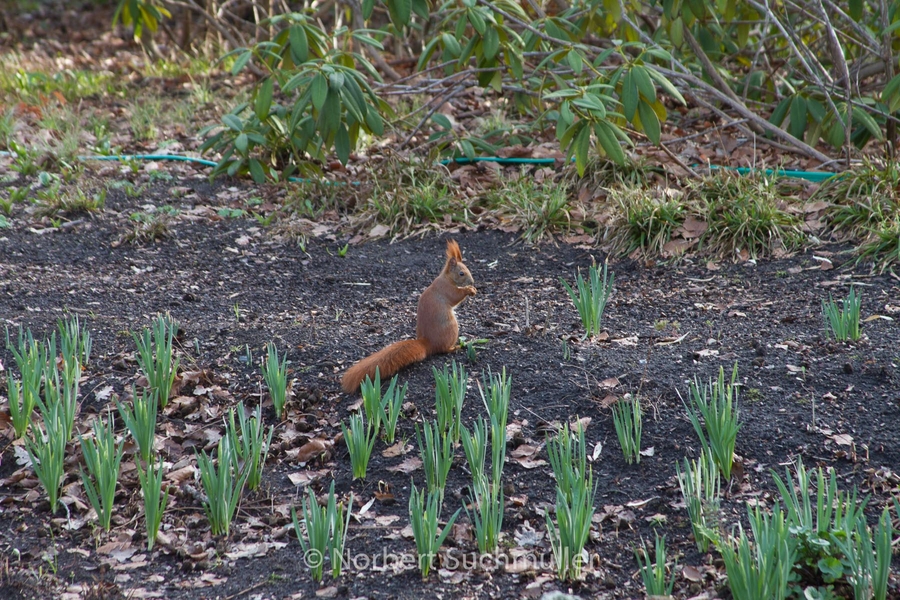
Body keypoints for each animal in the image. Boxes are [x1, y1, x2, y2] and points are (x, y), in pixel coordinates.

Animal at [340, 239, 478, 394]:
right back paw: (455, 347)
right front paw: (469, 290)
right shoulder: (446, 289)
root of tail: (428, 343)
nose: (472, 282)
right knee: (443, 349)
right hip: (451, 328)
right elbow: (456, 296)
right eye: (461, 273)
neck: (447, 278)